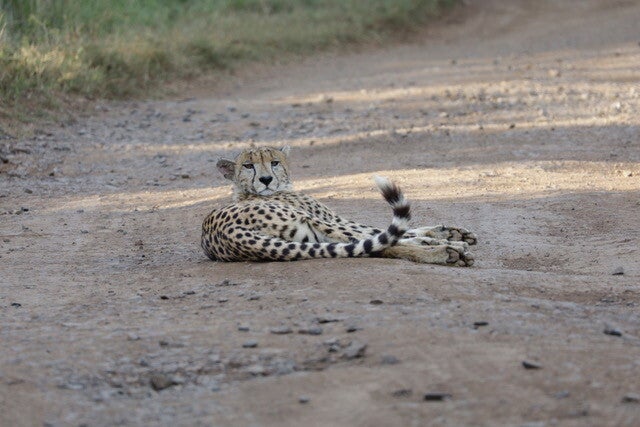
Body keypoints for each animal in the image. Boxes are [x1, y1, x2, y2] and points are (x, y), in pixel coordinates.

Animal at [201, 146, 475, 266]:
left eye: (275, 162)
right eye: (248, 166)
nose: (266, 179)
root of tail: (227, 234)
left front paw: (449, 232)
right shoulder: (332, 220)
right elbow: (385, 231)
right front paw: (445, 238)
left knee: (372, 248)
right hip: (317, 223)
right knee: (381, 242)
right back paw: (449, 251)